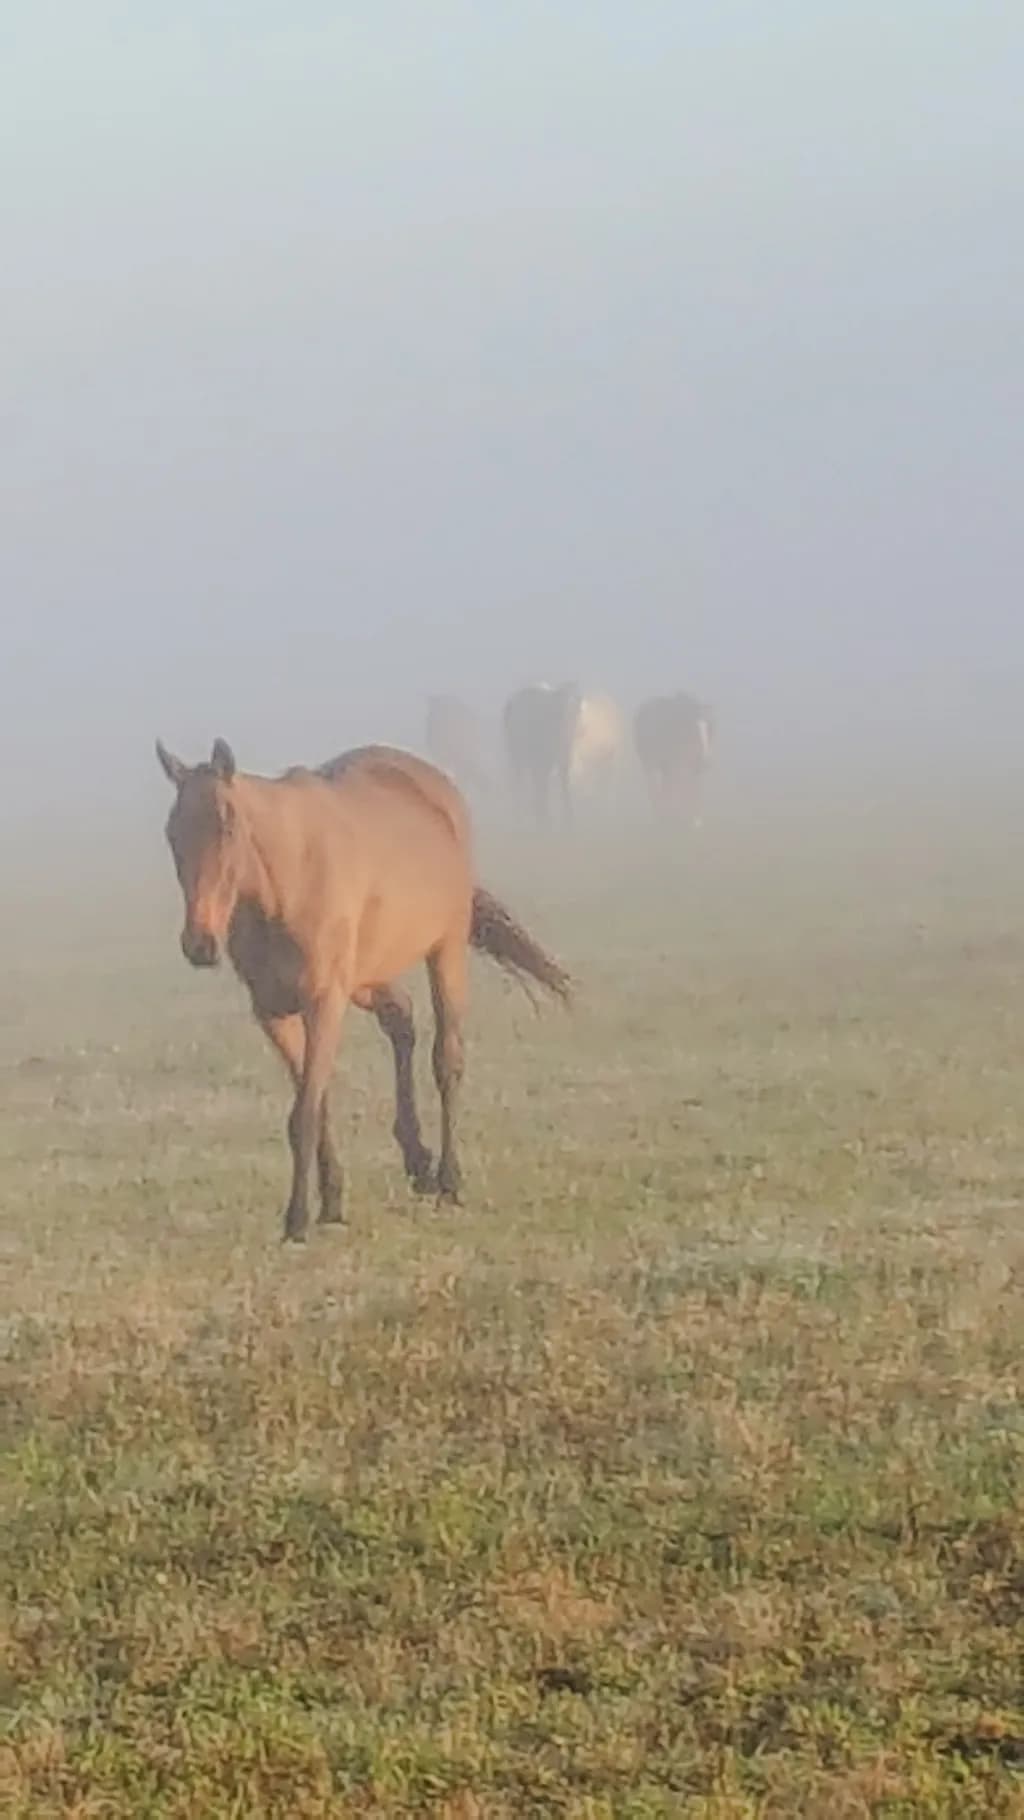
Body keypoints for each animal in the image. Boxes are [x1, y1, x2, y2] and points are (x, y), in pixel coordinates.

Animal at [156, 738, 571, 1242]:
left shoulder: (323, 1002)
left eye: (228, 825)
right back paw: (419, 1163)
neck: (286, 883)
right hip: (367, 976)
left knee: (446, 1059)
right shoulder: (274, 1012)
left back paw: (449, 1179)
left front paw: (297, 1219)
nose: (199, 944)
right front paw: (332, 1200)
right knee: (402, 1019)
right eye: (172, 834)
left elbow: (305, 1113)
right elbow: (315, 1103)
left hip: (446, 951)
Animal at [633, 692, 714, 825]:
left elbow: (693, 788)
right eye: (692, 729)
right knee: (654, 788)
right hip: (650, 763)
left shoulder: (688, 765)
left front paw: (695, 820)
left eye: (710, 730)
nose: (705, 762)